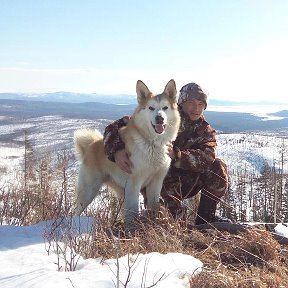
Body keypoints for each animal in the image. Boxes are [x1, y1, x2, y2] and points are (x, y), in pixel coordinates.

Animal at [73, 80, 180, 231]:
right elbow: (134, 211)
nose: (159, 118)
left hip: (121, 191)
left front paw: (154, 225)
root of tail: (91, 145)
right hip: (88, 192)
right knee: (76, 211)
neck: (153, 144)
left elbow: (154, 207)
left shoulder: (156, 183)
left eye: (165, 108)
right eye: (151, 108)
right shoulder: (134, 184)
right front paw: (133, 231)